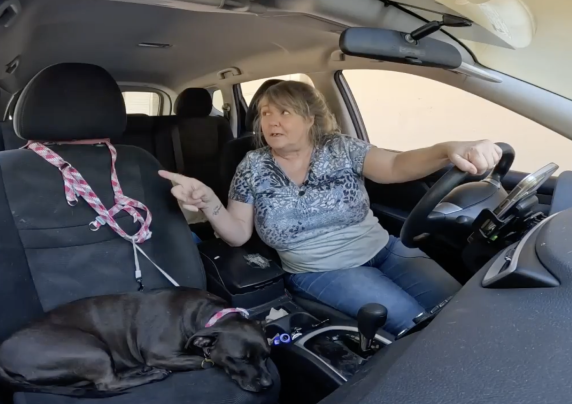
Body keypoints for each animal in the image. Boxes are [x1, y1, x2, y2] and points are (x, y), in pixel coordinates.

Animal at [0, 288, 274, 398]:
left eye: (267, 356)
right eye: (239, 359)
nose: (268, 384)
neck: (207, 315)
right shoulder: (159, 354)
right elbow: (204, 360)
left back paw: (141, 370)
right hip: (88, 348)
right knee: (107, 384)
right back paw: (153, 374)